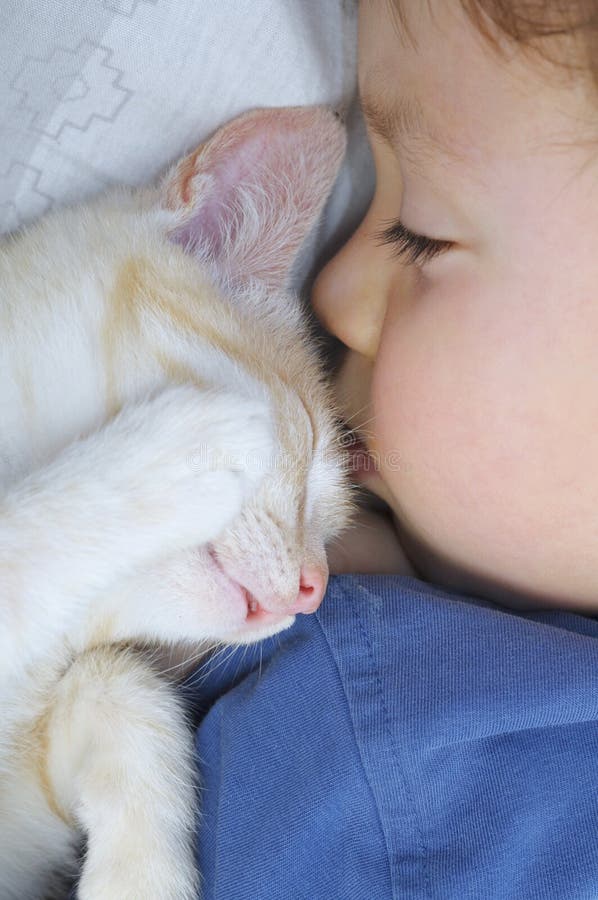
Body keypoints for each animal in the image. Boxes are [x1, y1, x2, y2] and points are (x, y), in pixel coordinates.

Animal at [0, 107, 354, 900]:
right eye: (308, 437)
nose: (315, 591)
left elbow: (119, 681)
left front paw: (139, 874)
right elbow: (20, 535)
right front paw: (176, 452)